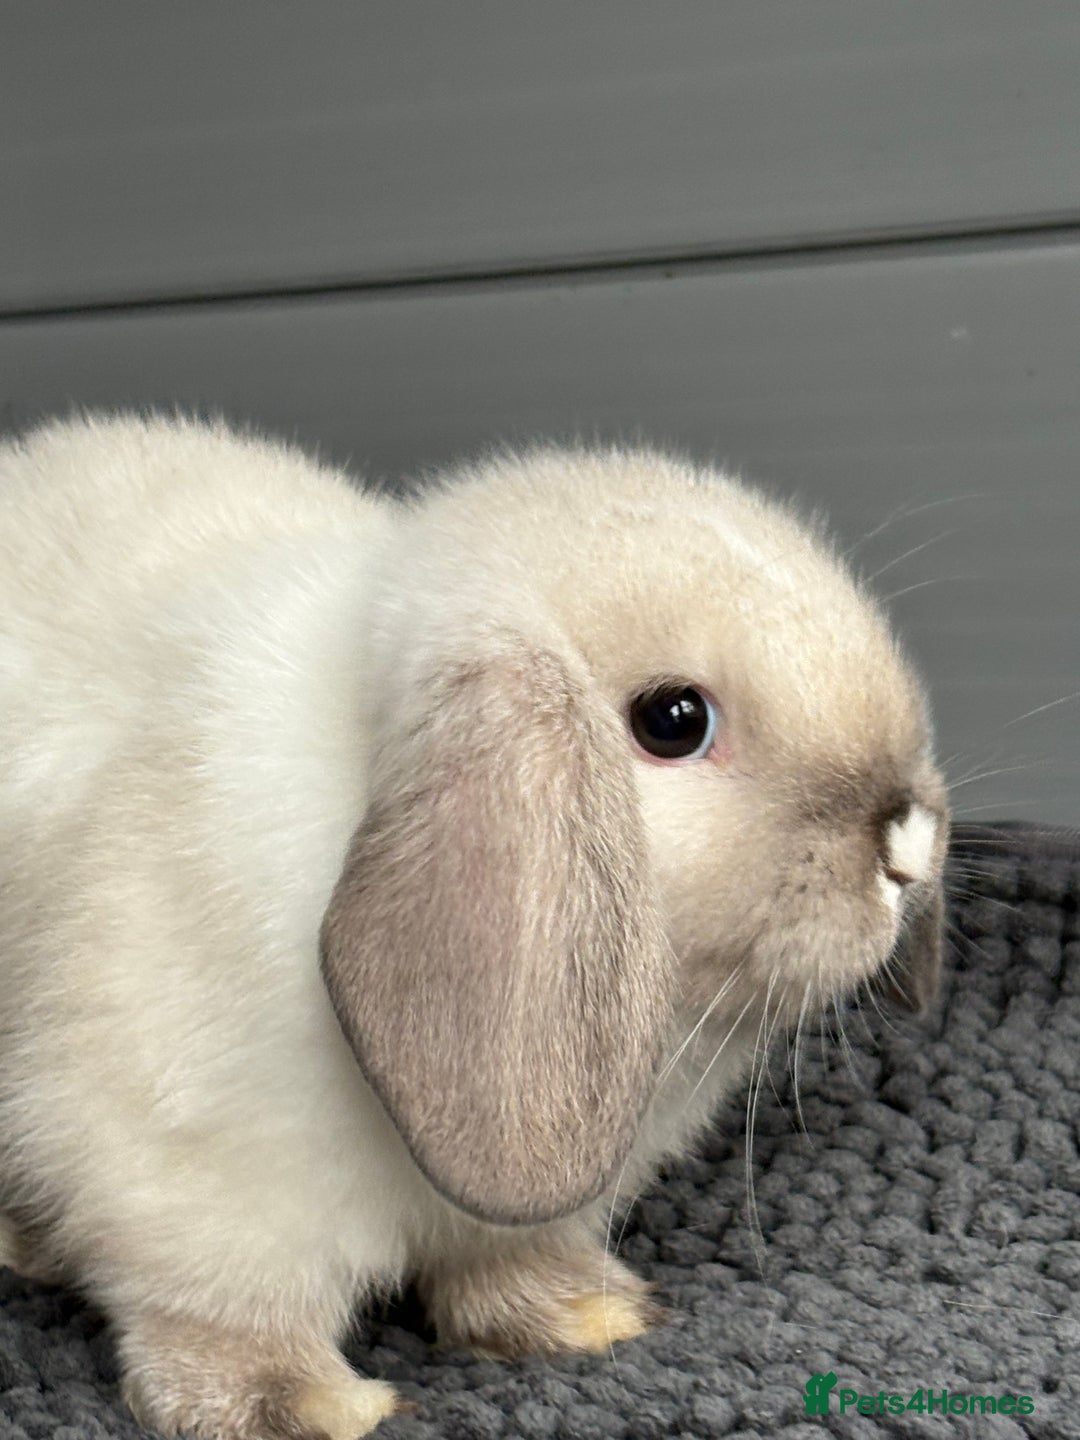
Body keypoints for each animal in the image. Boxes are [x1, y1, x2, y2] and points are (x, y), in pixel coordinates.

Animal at [0, 412, 948, 1439]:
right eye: (673, 719)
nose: (909, 844)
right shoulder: (179, 1170)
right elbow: (221, 1311)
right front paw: (303, 1406)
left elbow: (509, 1264)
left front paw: (587, 1317)